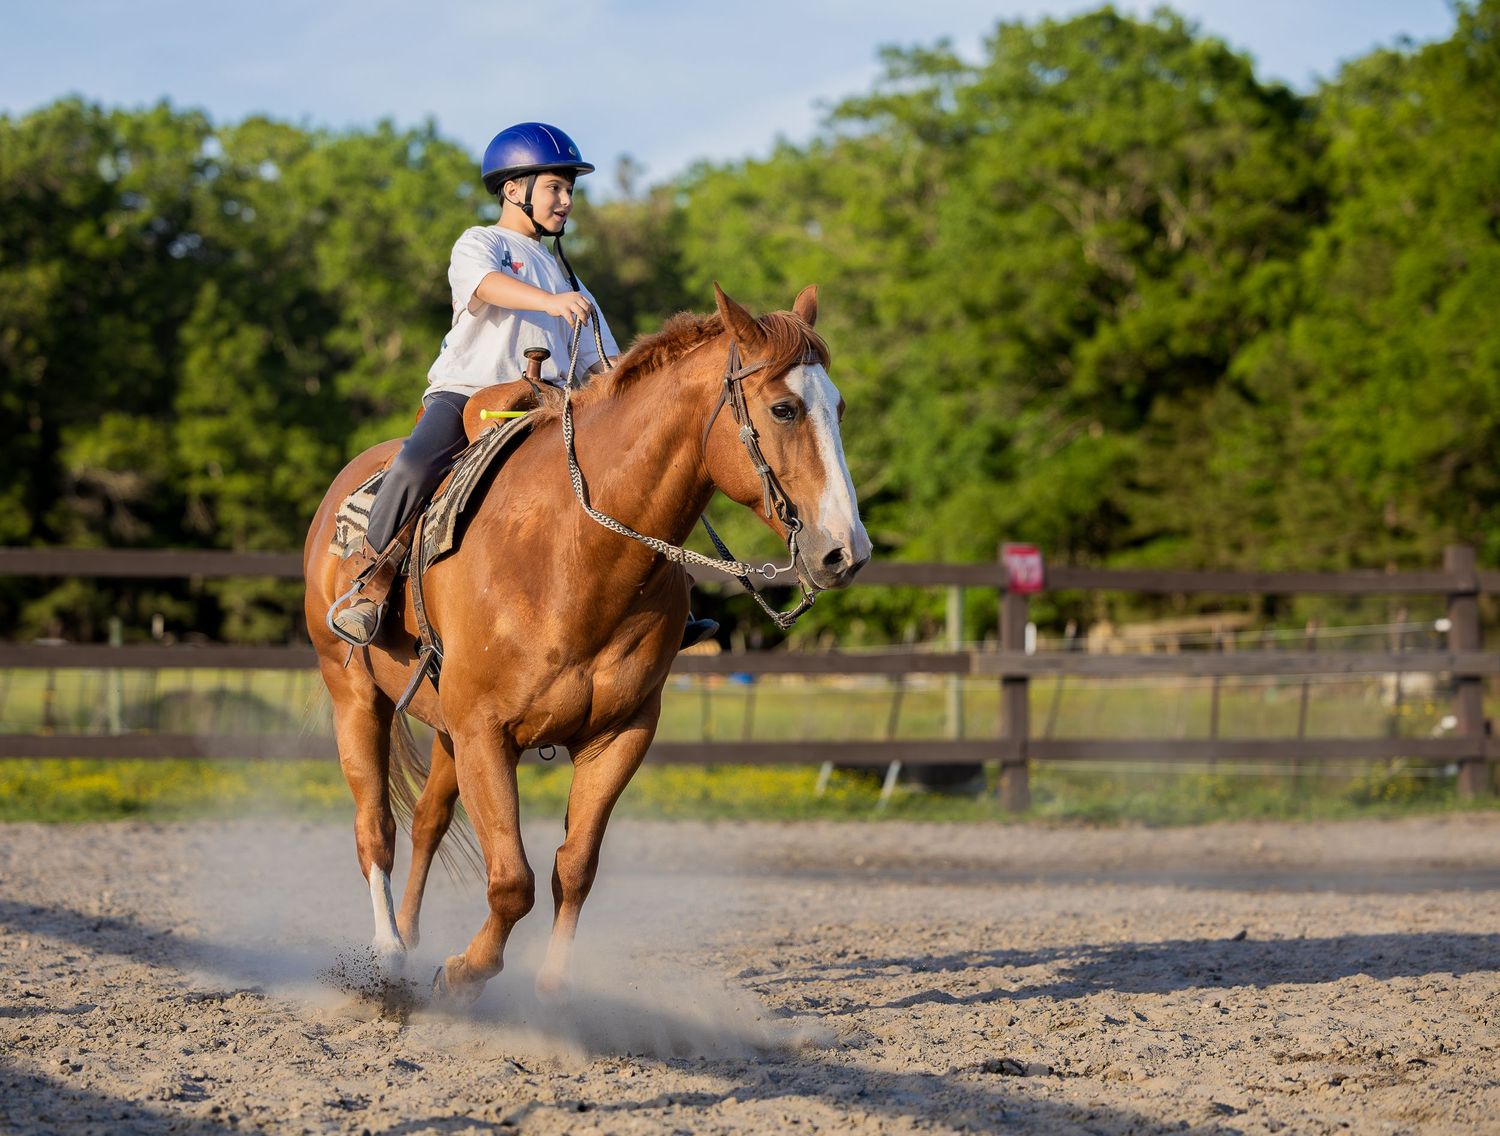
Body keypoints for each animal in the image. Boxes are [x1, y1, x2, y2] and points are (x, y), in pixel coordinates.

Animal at [302, 283, 870, 1005]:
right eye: (784, 407)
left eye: (840, 407)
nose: (846, 552)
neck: (572, 553)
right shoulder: (486, 731)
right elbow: (511, 881)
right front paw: (463, 972)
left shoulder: (619, 733)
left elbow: (573, 868)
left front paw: (551, 990)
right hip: (353, 693)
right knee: (375, 826)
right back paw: (389, 953)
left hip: (444, 727)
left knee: (428, 821)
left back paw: (409, 931)